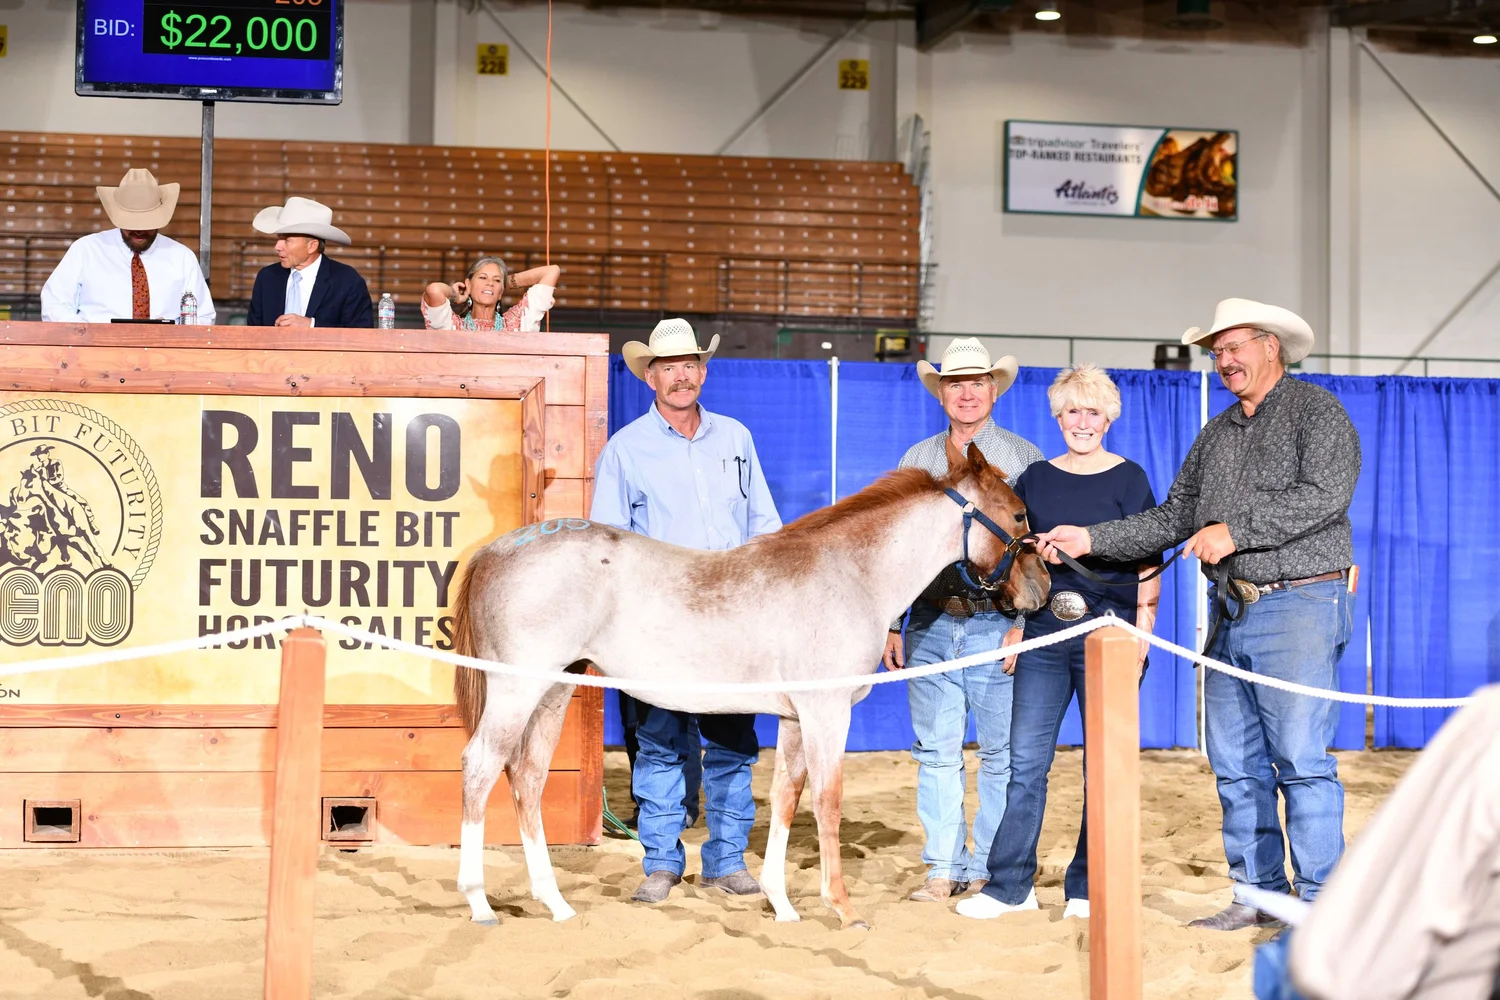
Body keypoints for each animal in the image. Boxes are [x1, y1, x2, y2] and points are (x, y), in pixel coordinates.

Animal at [450, 443, 1051, 930]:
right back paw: (478, 903)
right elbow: (827, 801)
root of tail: (496, 550)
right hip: (516, 691)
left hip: (553, 691)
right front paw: (843, 909)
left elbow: (786, 797)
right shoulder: (827, 712)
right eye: (1019, 513)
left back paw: (555, 903)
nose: (1043, 587)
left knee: (527, 776)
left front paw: (781, 904)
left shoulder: (794, 718)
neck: (851, 574)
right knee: (481, 767)